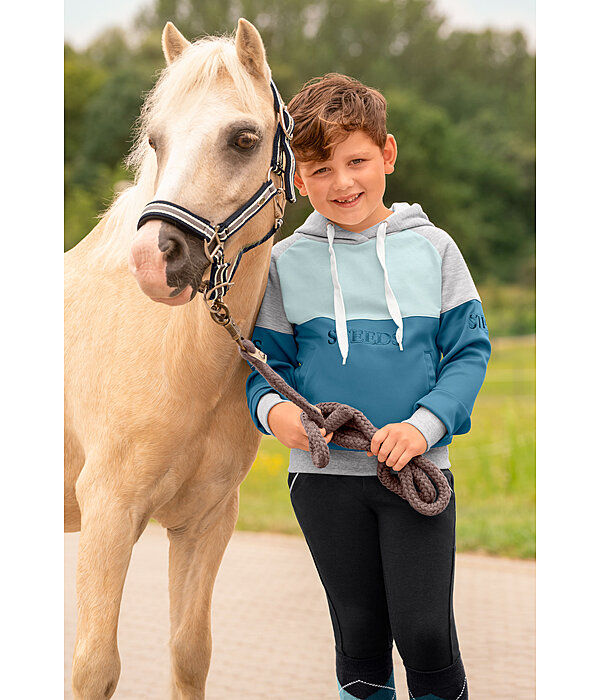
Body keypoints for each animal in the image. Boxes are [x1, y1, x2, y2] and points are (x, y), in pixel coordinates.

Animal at [64, 19, 294, 696]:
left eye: (244, 139)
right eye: (156, 141)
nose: (152, 260)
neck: (178, 362)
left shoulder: (206, 522)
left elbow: (190, 653)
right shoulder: (108, 513)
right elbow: (96, 665)